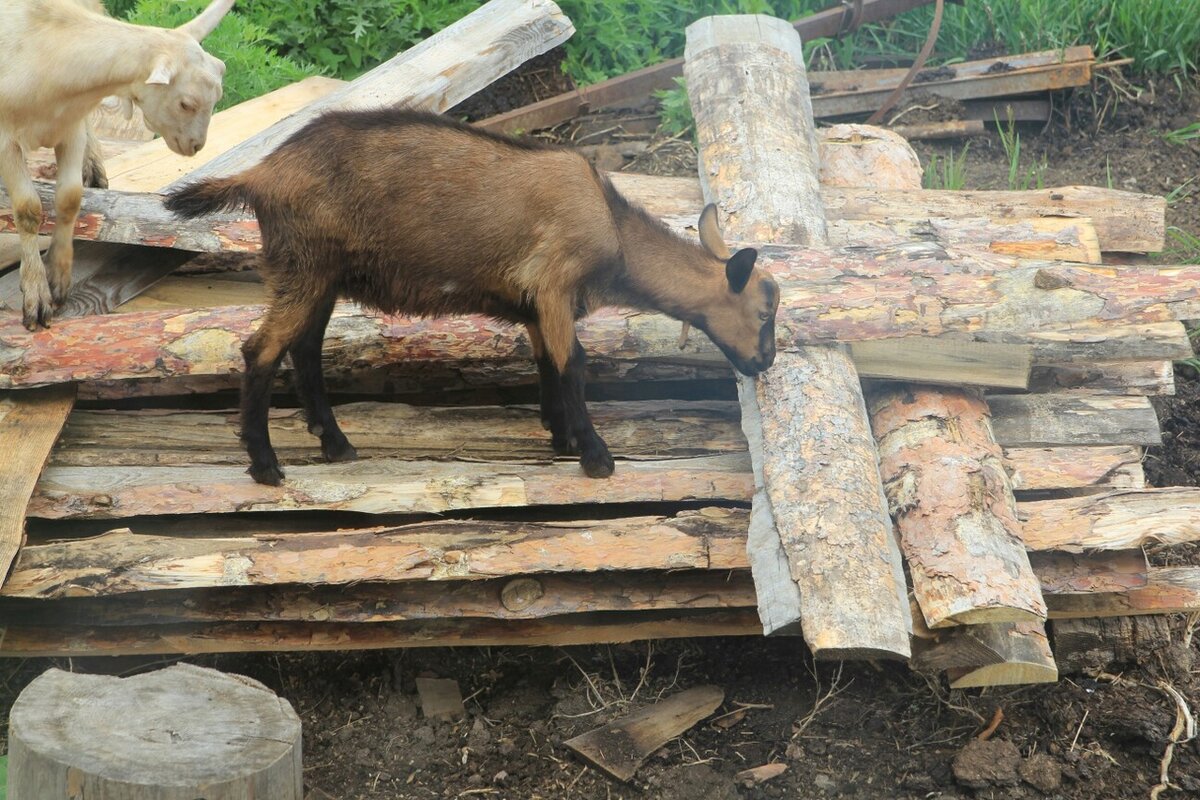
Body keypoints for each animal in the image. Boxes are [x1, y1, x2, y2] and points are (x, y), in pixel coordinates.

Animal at [0, 0, 231, 328]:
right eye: (186, 103)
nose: (195, 145)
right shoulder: (6, 139)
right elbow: (28, 209)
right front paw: (36, 295)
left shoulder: (70, 129)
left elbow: (70, 198)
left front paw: (58, 277)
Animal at [166, 109, 777, 484]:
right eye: (764, 311)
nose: (764, 361)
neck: (614, 232)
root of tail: (261, 174)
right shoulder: (555, 282)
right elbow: (573, 363)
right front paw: (595, 456)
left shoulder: (535, 303)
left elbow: (546, 363)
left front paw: (561, 437)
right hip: (306, 267)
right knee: (261, 351)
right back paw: (266, 466)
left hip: (318, 276)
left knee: (306, 349)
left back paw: (334, 443)